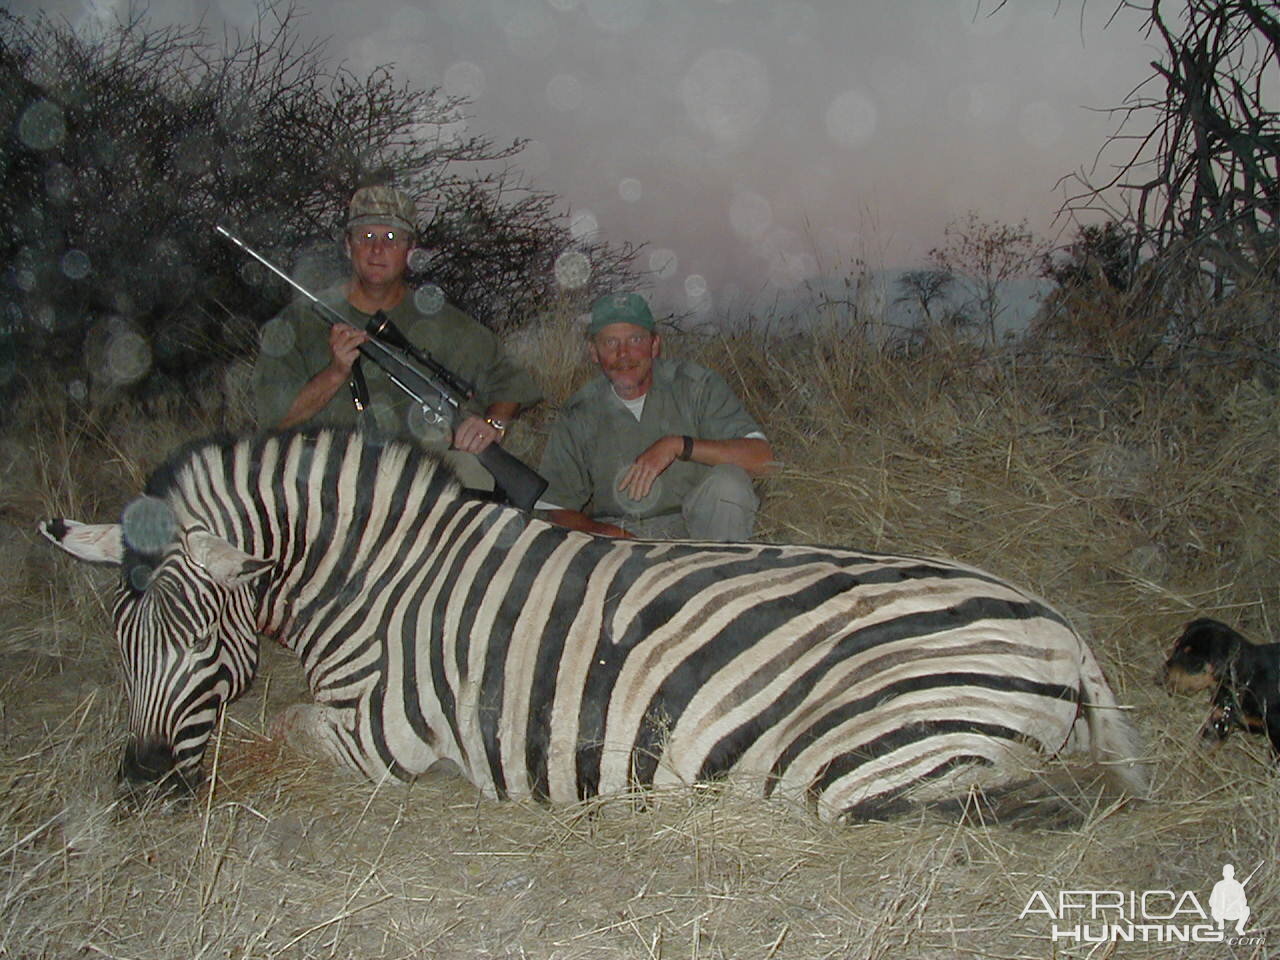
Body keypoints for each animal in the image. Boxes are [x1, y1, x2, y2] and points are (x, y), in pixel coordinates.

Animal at [40, 432, 1146, 824]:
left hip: (873, 761)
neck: (382, 580)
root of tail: (1063, 627)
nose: (140, 786)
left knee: (1027, 806)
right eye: (122, 645)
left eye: (199, 645)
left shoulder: (380, 739)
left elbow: (272, 734)